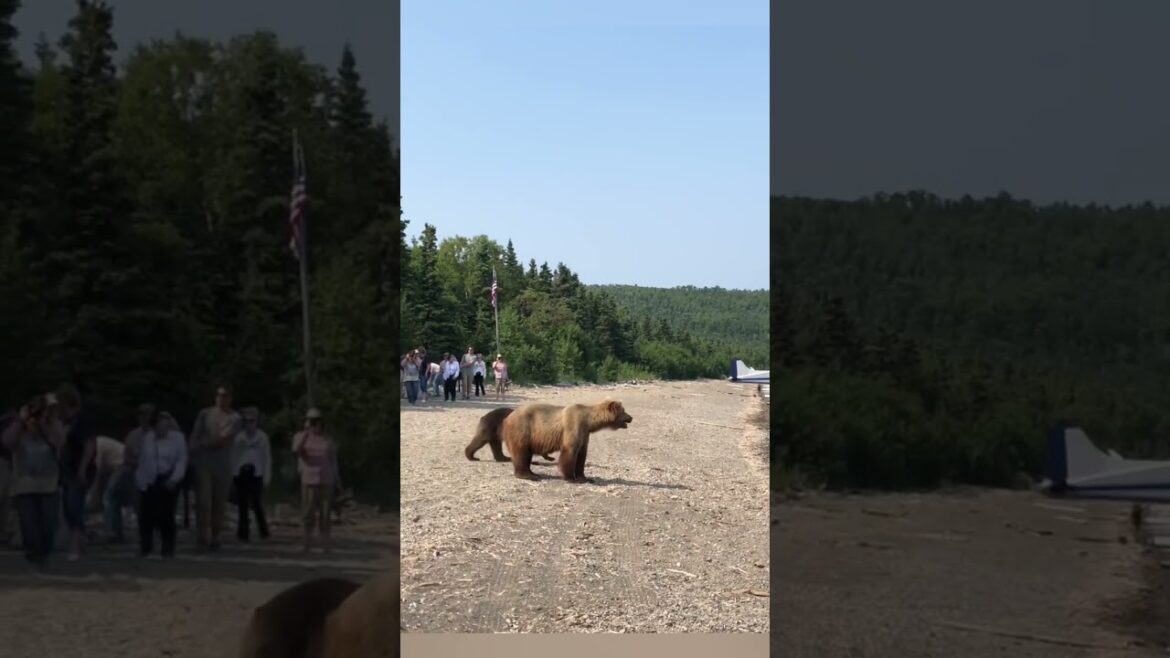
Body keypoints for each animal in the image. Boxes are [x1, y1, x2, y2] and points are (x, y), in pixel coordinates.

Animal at [502, 399, 633, 483]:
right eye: (624, 411)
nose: (631, 417)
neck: (589, 422)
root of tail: (507, 417)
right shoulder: (573, 425)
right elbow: (569, 452)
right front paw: (571, 478)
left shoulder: (585, 434)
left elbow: (582, 455)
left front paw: (585, 477)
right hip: (522, 429)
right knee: (521, 452)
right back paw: (527, 475)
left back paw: (533, 473)